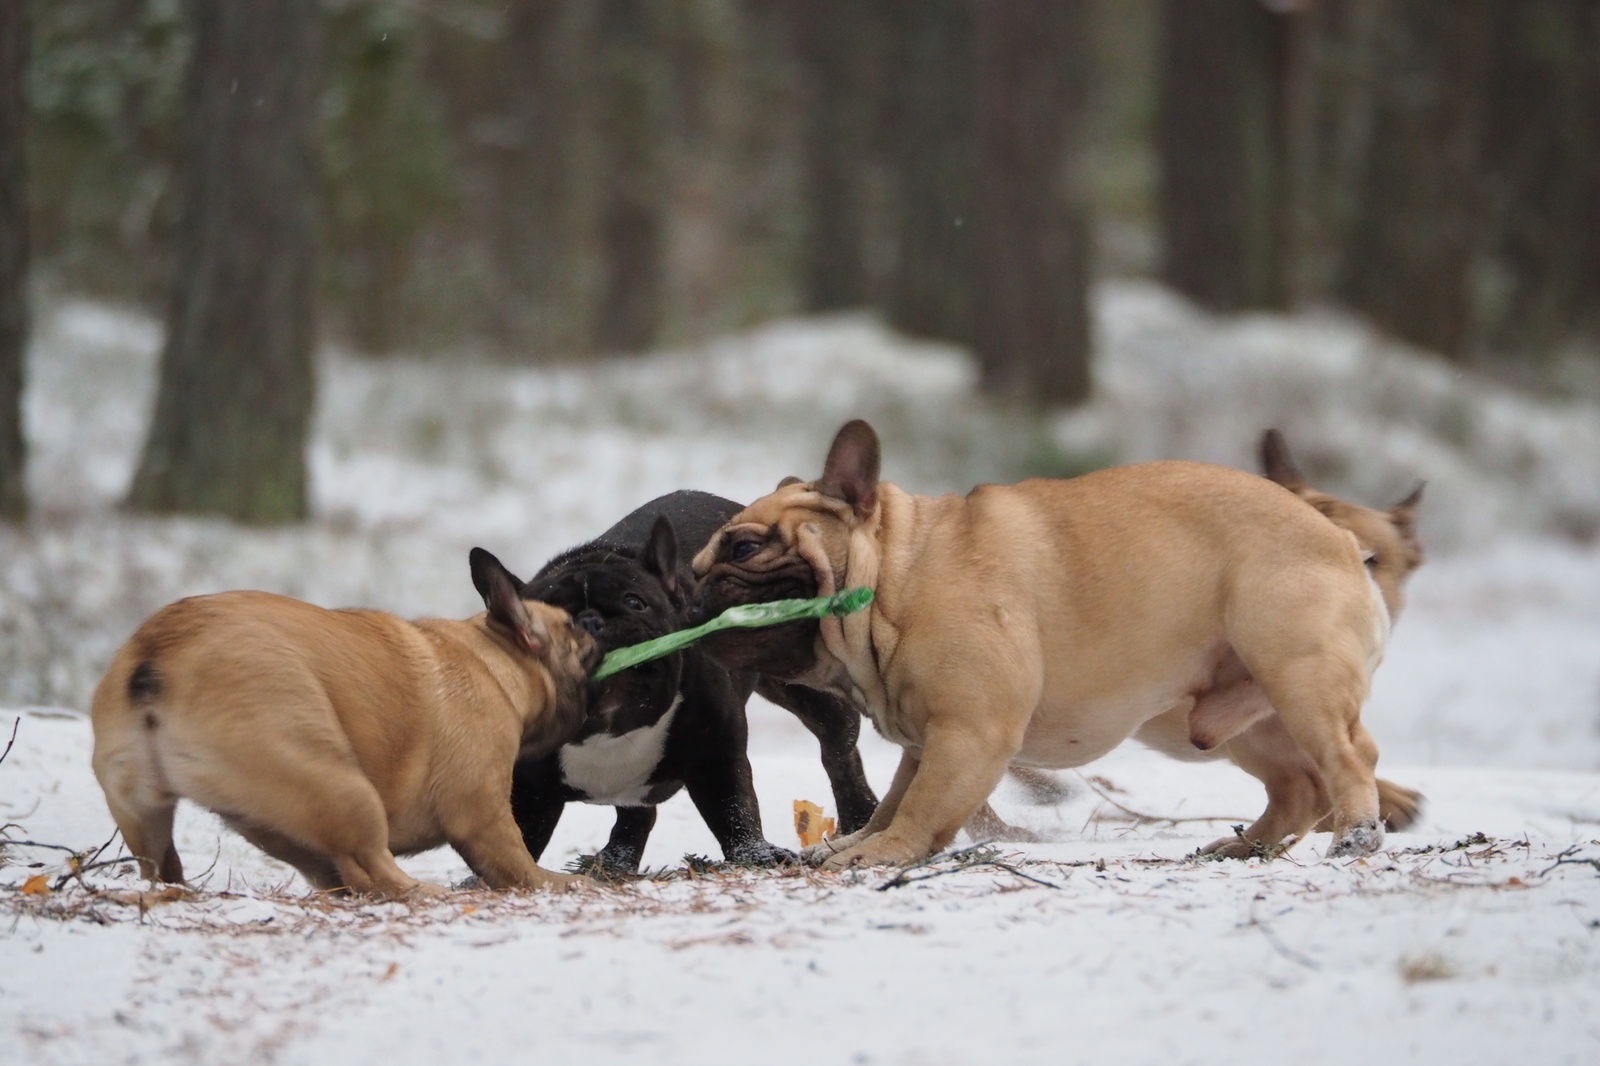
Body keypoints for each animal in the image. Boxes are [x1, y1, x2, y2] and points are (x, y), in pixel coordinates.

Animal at [90, 547, 601, 896]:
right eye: (572, 629)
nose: (593, 625)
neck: (494, 660)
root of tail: (157, 656)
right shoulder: (480, 811)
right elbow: (516, 861)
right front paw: (557, 882)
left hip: (146, 811)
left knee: (163, 865)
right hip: (341, 785)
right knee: (373, 869)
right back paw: (428, 892)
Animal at [694, 416, 1395, 864]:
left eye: (745, 547)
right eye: (702, 563)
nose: (695, 586)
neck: (899, 576)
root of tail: (1340, 540)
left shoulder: (970, 733)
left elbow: (921, 807)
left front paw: (881, 855)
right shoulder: (929, 742)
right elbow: (898, 797)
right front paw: (858, 843)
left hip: (1297, 675)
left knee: (1349, 756)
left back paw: (1356, 835)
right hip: (1239, 718)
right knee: (1299, 786)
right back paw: (1245, 846)